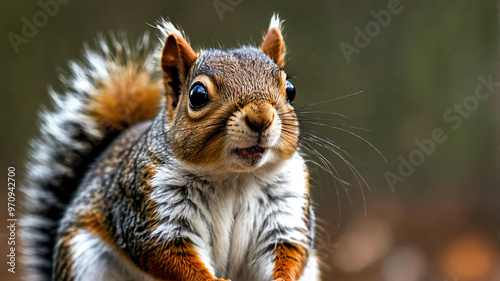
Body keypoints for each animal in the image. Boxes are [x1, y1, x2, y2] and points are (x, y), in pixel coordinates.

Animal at [21, 14, 318, 280]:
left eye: (290, 90)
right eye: (197, 95)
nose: (260, 118)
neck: (234, 178)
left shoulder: (285, 208)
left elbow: (289, 250)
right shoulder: (152, 208)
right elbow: (166, 254)